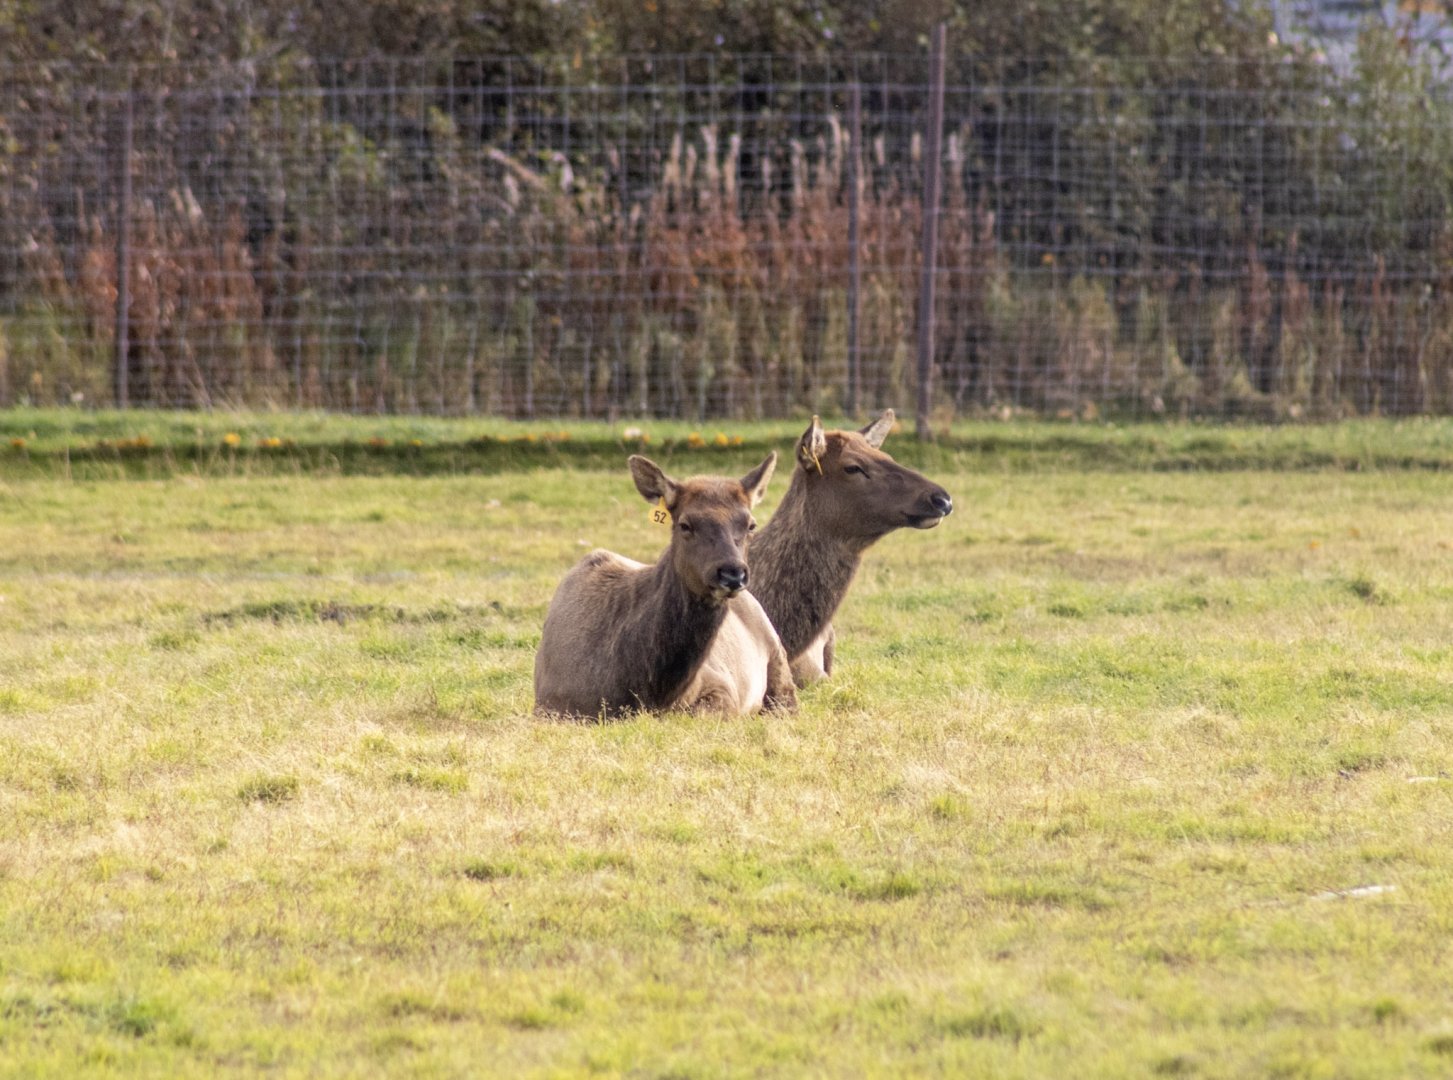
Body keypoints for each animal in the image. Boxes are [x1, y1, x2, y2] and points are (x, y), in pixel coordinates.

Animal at [533, 453, 797, 720]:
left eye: (751, 525)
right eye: (685, 524)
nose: (733, 573)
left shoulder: (722, 684)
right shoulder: (548, 705)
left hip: (778, 654)